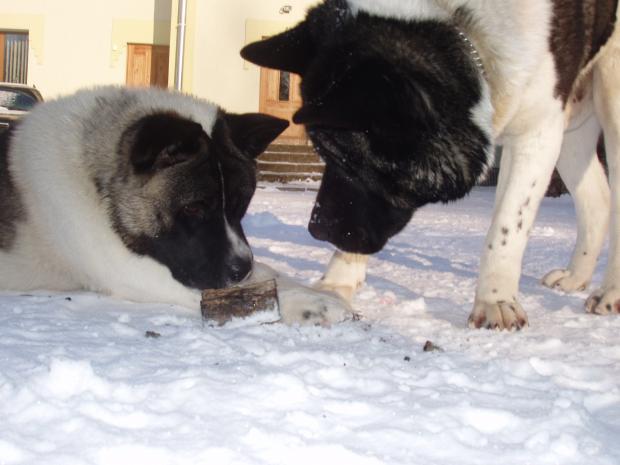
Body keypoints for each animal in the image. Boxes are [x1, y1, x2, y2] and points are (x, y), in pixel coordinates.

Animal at [0, 88, 354, 326]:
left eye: (240, 204)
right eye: (195, 208)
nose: (241, 268)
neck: (98, 179)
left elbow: (270, 272)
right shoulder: (129, 269)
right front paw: (313, 303)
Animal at [241, 0, 620, 328]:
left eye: (351, 160)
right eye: (322, 153)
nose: (316, 229)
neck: (459, 21)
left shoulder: (537, 130)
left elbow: (507, 226)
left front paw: (495, 300)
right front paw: (336, 284)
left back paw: (609, 293)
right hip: (573, 124)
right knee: (598, 201)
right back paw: (575, 277)